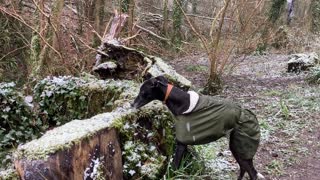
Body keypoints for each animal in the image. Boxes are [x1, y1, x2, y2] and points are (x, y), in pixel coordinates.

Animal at [131, 76, 264, 180]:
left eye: (142, 92)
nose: (132, 105)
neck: (183, 102)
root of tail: (253, 117)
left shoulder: (181, 143)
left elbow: (174, 167)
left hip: (242, 148)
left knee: (252, 173)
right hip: (237, 148)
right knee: (243, 169)